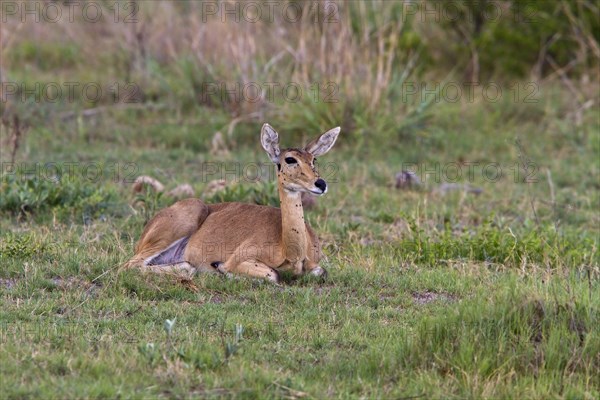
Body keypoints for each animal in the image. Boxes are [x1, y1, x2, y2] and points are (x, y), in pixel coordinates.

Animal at [124, 123, 340, 282]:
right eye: (289, 159)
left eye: (314, 159)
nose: (320, 183)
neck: (290, 251)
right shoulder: (239, 259)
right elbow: (273, 275)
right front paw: (221, 270)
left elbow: (322, 272)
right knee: (128, 266)